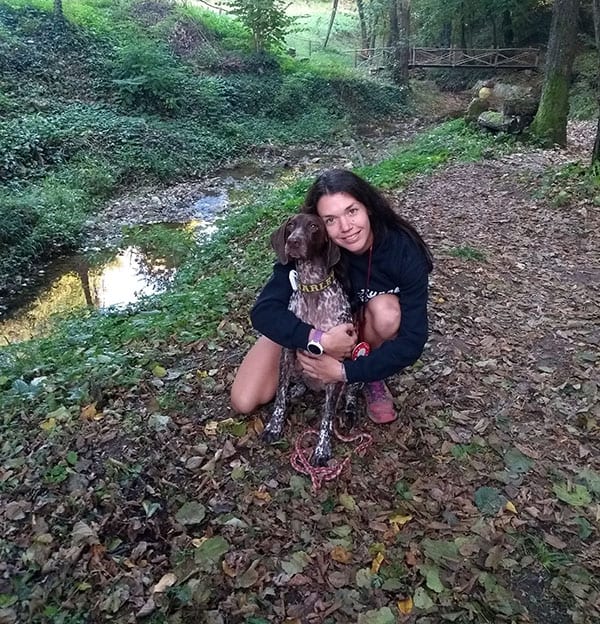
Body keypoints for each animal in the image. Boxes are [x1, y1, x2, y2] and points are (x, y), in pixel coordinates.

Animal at [262, 213, 359, 466]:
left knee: (350, 393)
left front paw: (322, 448)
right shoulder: (287, 352)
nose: (293, 242)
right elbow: (280, 394)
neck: (312, 287)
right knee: (297, 384)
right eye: (291, 226)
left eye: (314, 226)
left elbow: (327, 416)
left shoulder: (337, 363)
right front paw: (274, 425)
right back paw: (297, 390)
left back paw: (349, 410)